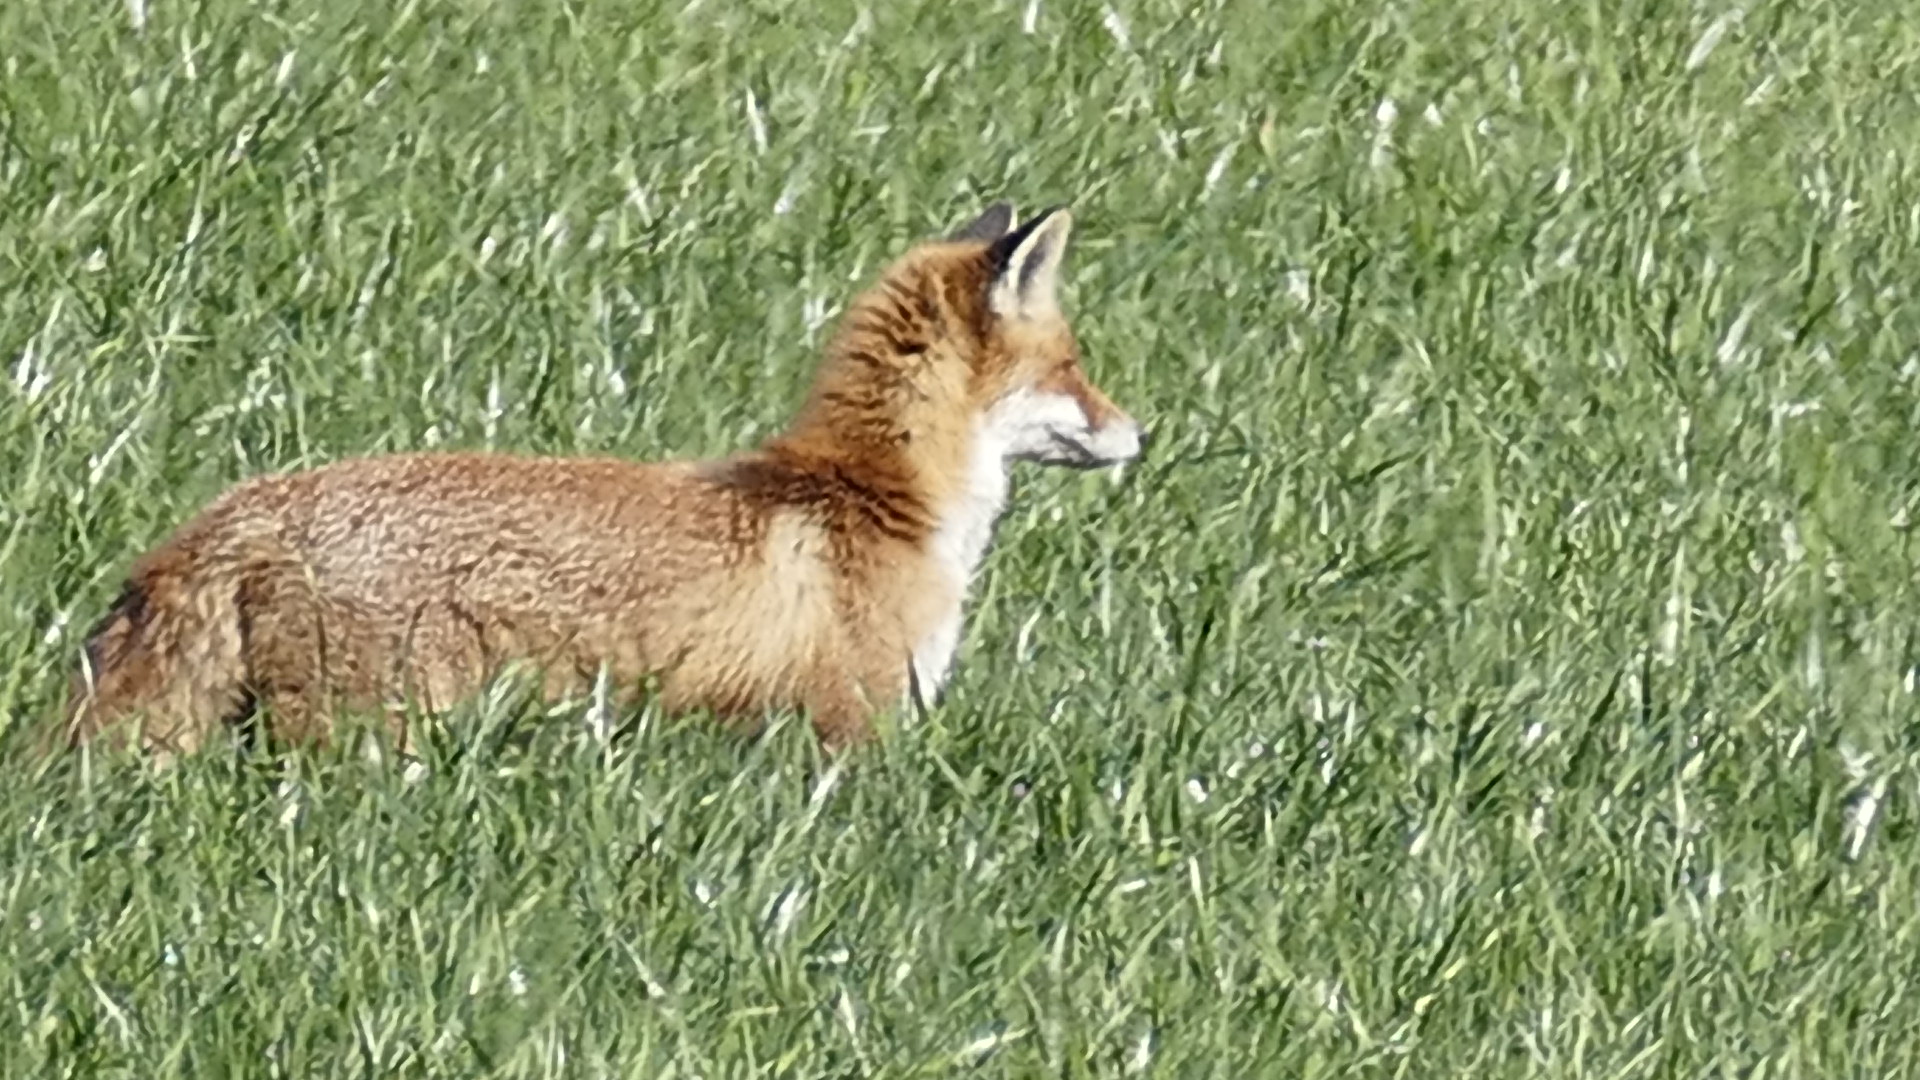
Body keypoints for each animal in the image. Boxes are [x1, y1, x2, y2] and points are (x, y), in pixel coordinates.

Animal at [56, 203, 1136, 757]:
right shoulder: (850, 729)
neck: (873, 495)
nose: (1143, 432)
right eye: (1075, 367)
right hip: (364, 740)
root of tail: (239, 514)